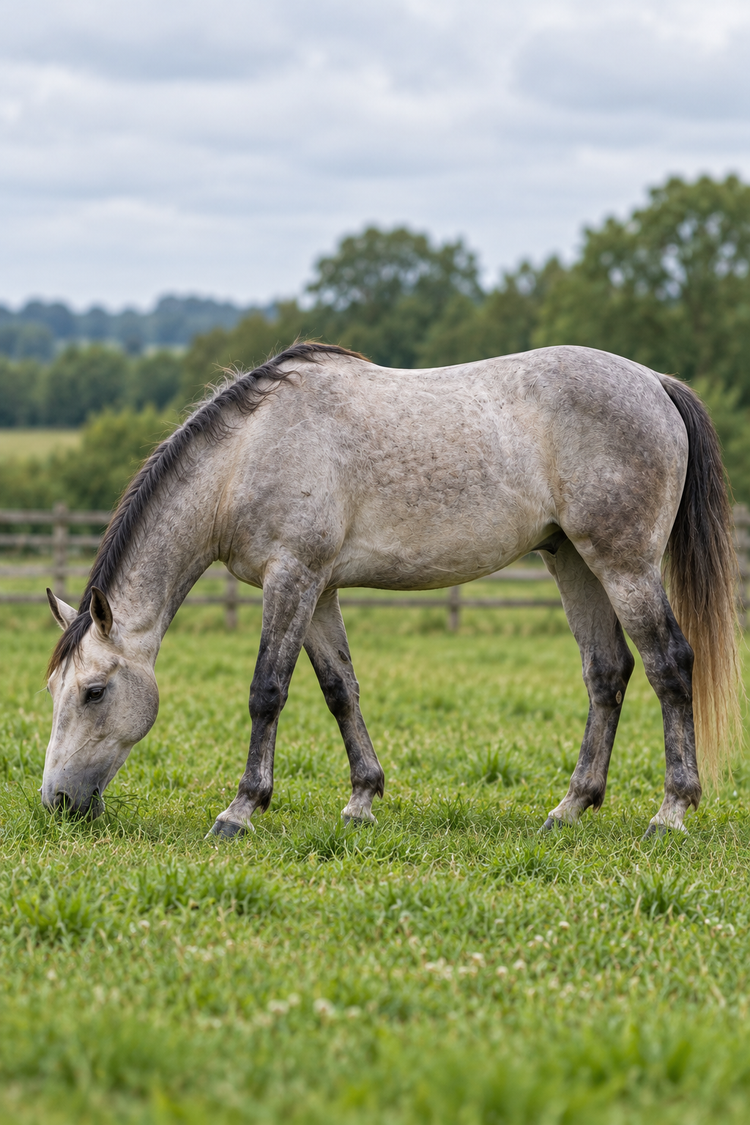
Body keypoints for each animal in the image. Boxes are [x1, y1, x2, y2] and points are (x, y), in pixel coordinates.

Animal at [42, 342, 741, 839]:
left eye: (94, 692)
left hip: (624, 564)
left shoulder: (290, 578)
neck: (245, 457)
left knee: (669, 664)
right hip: (573, 562)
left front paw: (240, 810)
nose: (56, 802)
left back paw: (671, 812)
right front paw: (362, 799)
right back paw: (569, 807)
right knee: (607, 672)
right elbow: (339, 690)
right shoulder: (317, 590)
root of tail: (655, 382)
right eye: (56, 690)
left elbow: (267, 692)